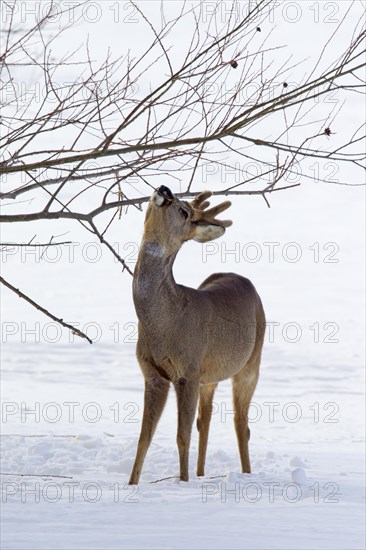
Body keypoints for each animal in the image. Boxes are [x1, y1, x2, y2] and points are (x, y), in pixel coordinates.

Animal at [129, 184, 266, 484]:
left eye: (183, 210)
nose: (164, 188)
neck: (164, 323)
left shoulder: (187, 371)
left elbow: (182, 436)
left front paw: (183, 482)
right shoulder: (152, 374)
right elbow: (144, 438)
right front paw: (132, 483)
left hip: (251, 363)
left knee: (241, 424)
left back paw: (246, 474)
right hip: (209, 377)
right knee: (207, 419)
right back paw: (202, 474)